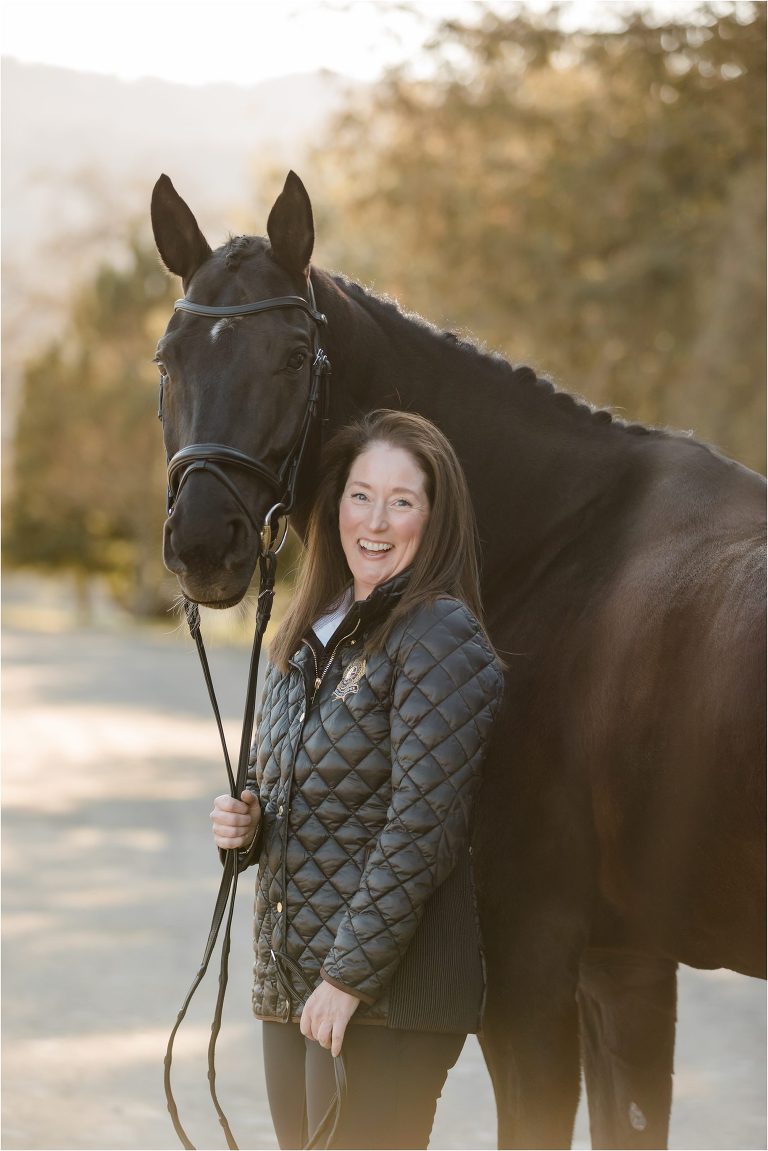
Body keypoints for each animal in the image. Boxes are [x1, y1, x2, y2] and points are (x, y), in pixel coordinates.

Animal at [150, 170, 766, 1150]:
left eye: (293, 355)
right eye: (168, 357)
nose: (205, 540)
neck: (560, 549)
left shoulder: (528, 966)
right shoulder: (623, 962)